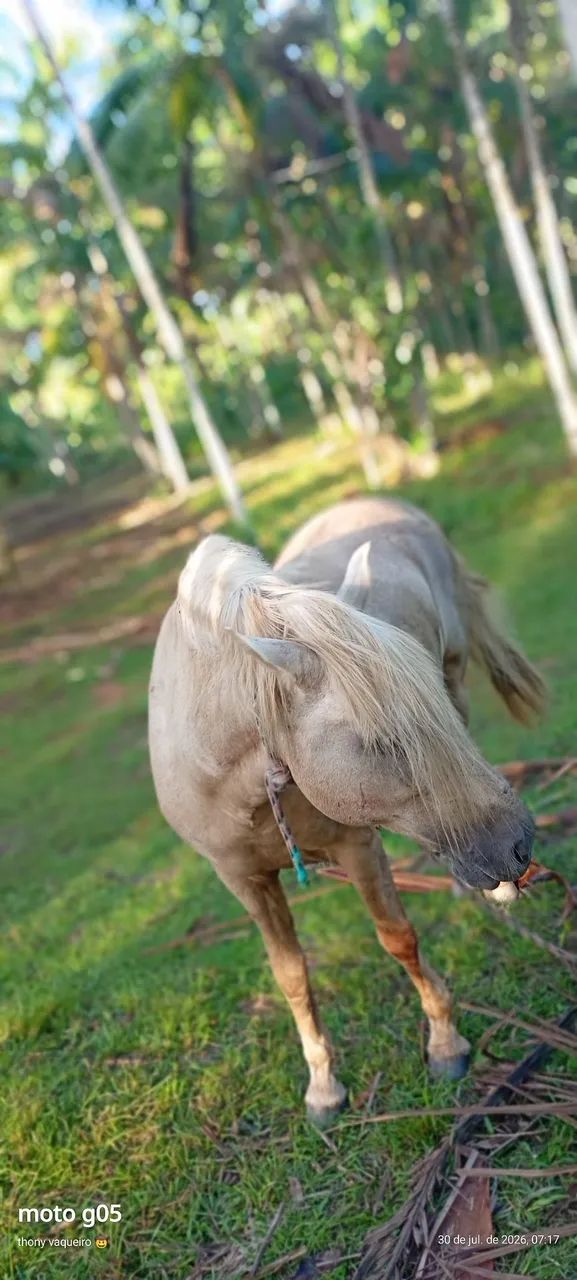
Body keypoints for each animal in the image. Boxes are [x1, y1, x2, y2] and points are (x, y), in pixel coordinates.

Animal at [149, 497, 545, 1125]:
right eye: (382, 742)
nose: (518, 847)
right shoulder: (242, 879)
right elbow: (291, 975)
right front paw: (323, 1085)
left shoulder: (357, 845)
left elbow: (398, 938)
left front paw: (445, 1044)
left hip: (457, 670)